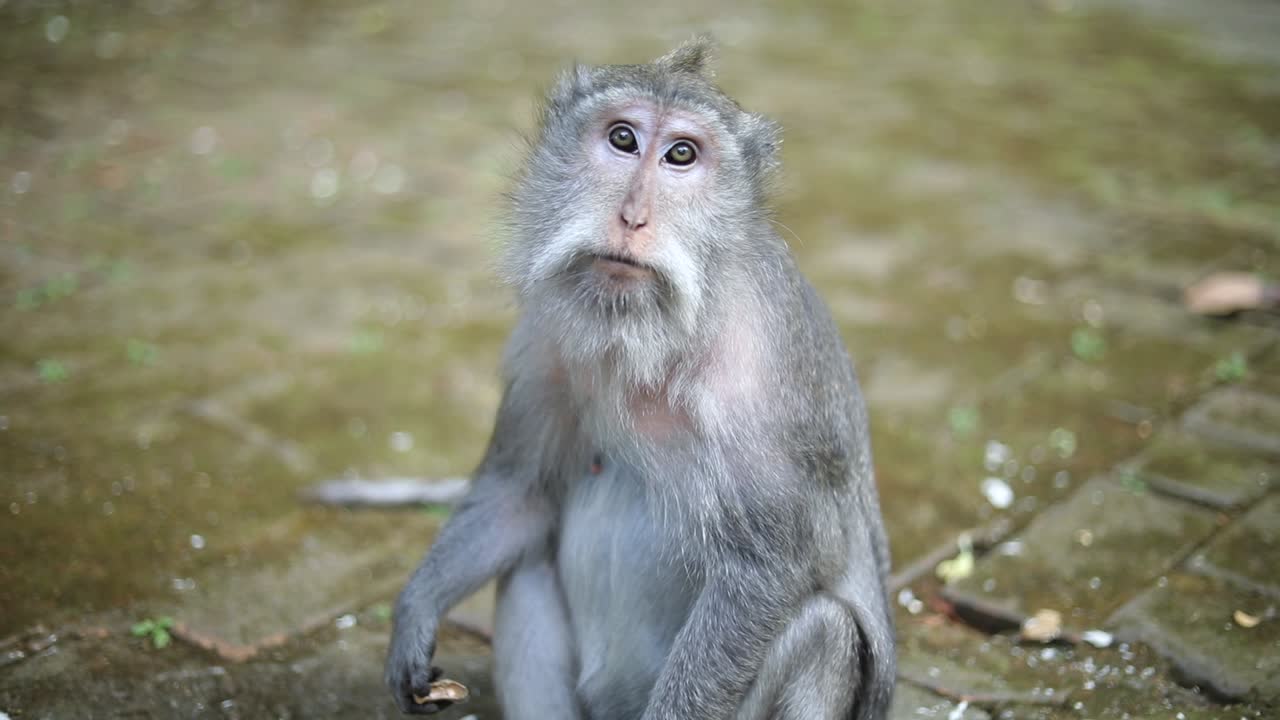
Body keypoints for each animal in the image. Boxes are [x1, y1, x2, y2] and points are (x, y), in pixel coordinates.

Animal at [381, 36, 895, 720]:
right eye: (622, 138)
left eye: (682, 154)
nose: (631, 217)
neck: (654, 337)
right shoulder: (546, 341)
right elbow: (521, 493)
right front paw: (414, 613)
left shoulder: (758, 377)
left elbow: (771, 567)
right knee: (525, 567)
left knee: (824, 632)